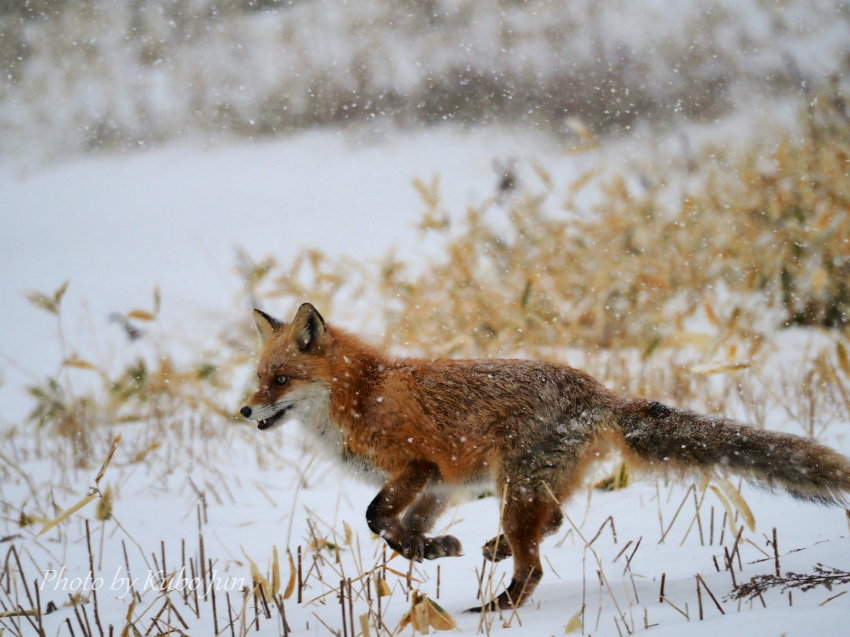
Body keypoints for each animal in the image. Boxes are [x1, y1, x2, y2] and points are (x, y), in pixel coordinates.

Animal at [238, 304, 848, 612]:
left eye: (280, 380)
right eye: (260, 378)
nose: (244, 410)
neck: (362, 394)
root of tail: (597, 391)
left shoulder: (419, 468)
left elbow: (375, 517)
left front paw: (424, 548)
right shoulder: (441, 484)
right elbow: (403, 529)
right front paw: (434, 548)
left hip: (516, 489)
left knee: (533, 565)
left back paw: (496, 608)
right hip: (526, 488)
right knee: (549, 524)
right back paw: (494, 551)